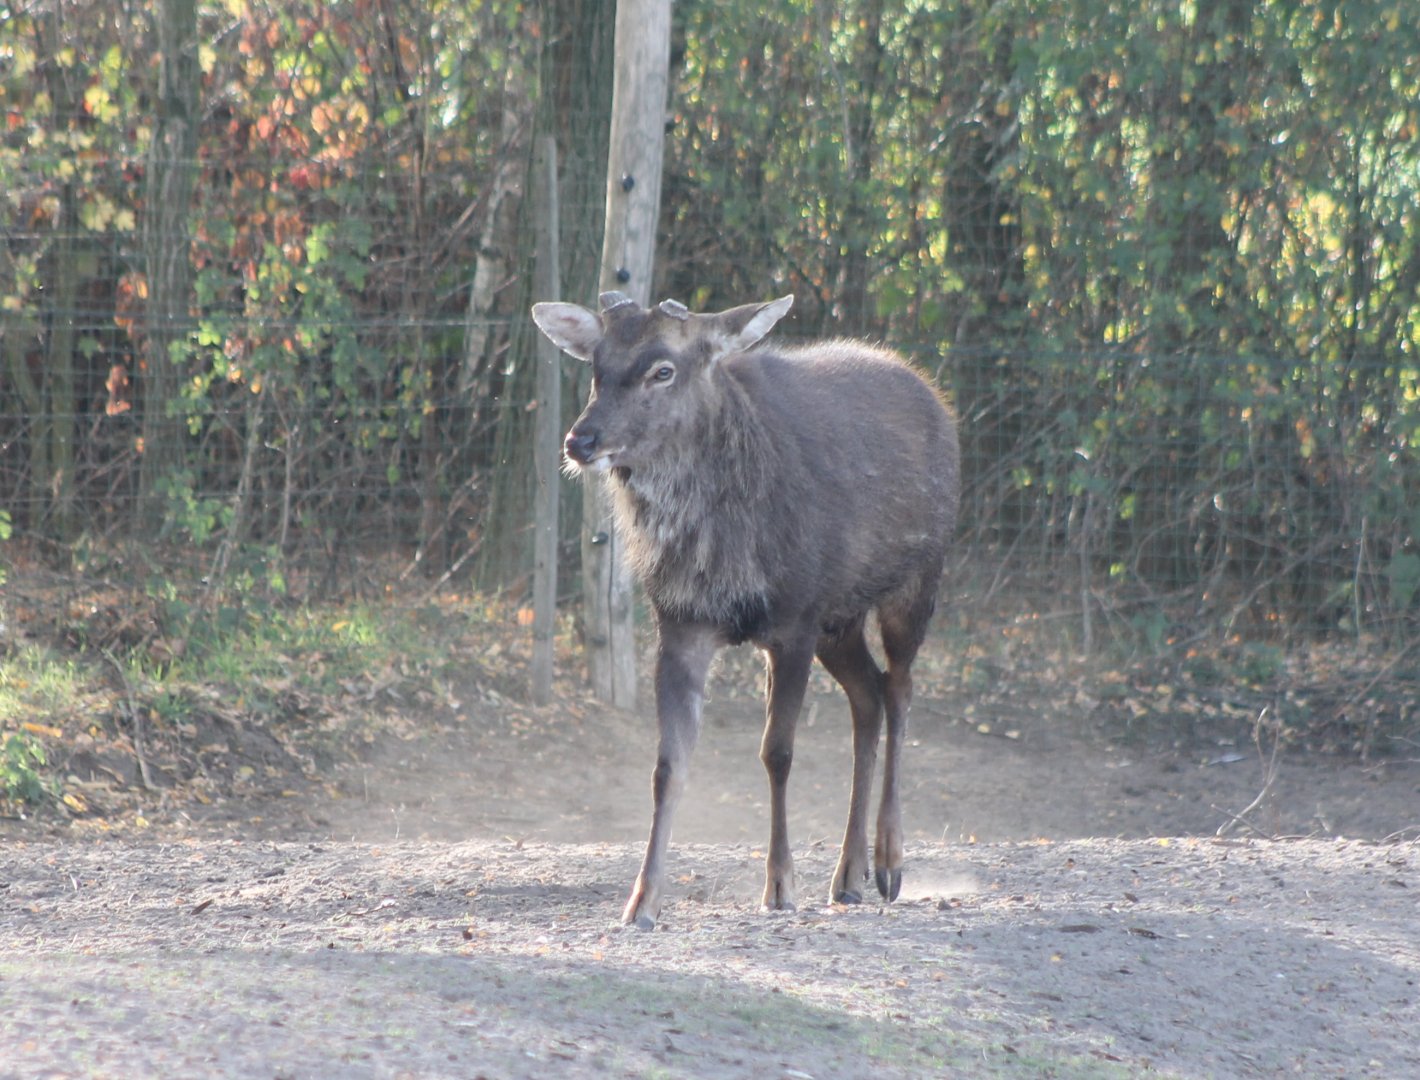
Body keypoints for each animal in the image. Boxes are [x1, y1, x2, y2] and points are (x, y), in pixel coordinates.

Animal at [531, 291, 960, 929]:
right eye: (596, 367)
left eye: (664, 370)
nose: (580, 440)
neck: (721, 550)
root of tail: (934, 395)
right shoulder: (680, 625)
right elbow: (668, 765)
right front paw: (641, 901)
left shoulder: (794, 620)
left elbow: (777, 752)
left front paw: (779, 886)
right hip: (839, 620)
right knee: (869, 695)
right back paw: (848, 875)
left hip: (915, 579)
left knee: (901, 689)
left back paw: (888, 862)